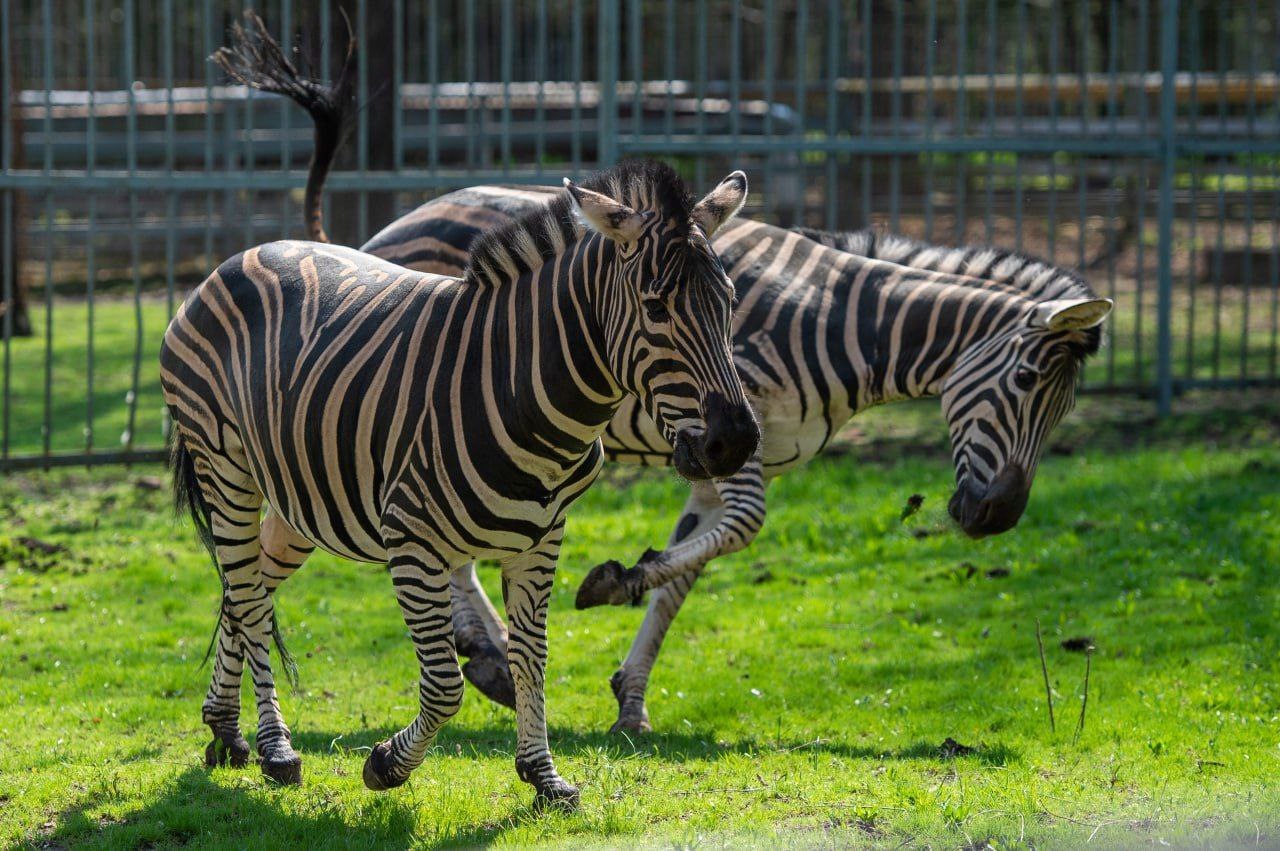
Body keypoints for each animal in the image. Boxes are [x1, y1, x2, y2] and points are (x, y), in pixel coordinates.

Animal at [160, 154, 757, 803]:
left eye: (729, 302)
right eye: (655, 308)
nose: (736, 441)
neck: (523, 387)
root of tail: (241, 257)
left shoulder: (543, 538)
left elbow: (531, 656)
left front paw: (543, 776)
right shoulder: (411, 539)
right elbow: (447, 685)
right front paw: (387, 765)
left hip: (302, 498)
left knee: (250, 587)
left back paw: (226, 730)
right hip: (225, 467)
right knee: (246, 596)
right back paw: (275, 748)